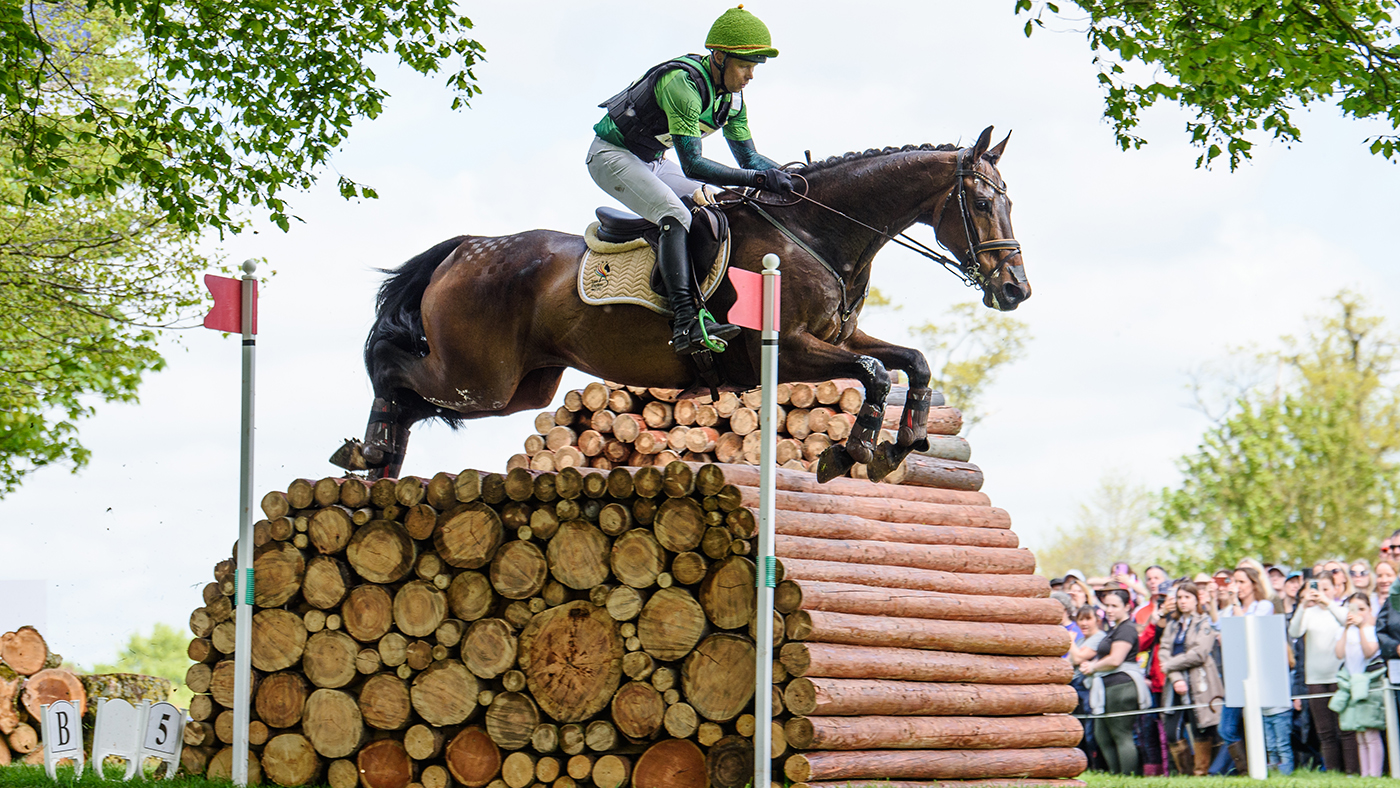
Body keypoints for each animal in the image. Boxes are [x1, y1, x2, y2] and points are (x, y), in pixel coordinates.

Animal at [336, 125, 1028, 484]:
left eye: (1008, 202)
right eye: (982, 203)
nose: (1015, 290)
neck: (816, 233)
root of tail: (463, 248)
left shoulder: (838, 339)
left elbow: (911, 362)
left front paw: (899, 446)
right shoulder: (784, 350)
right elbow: (877, 373)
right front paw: (852, 450)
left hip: (521, 387)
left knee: (413, 394)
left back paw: (382, 461)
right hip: (480, 376)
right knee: (392, 366)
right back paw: (367, 451)